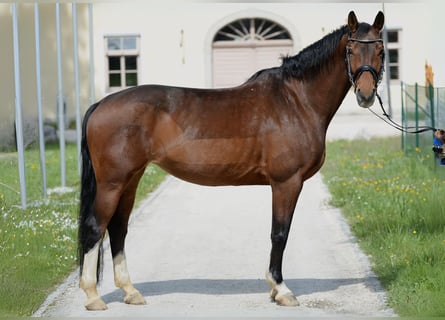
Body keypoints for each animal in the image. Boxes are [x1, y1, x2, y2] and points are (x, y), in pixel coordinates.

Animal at [78, 10, 384, 310]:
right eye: (350, 50)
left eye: (381, 50)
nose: (366, 94)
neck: (296, 100)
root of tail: (101, 104)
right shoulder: (286, 182)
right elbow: (280, 233)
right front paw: (281, 289)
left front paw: (275, 288)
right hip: (113, 182)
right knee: (96, 227)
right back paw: (93, 296)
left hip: (131, 179)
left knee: (118, 229)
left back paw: (130, 291)